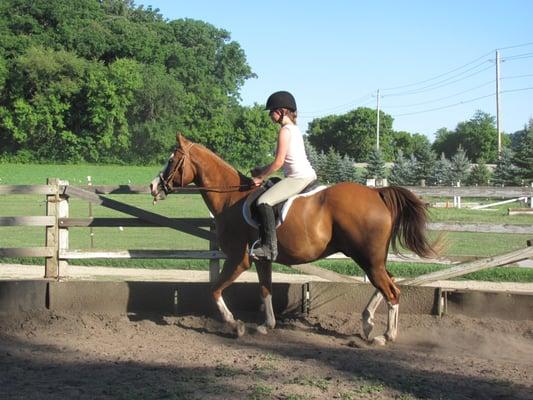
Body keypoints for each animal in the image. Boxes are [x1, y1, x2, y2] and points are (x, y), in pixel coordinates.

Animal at [150, 134, 436, 344]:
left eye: (172, 160)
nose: (154, 187)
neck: (231, 198)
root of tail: (377, 193)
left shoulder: (238, 259)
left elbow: (215, 290)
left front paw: (237, 326)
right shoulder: (261, 260)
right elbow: (265, 289)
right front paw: (265, 326)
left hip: (367, 258)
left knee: (391, 290)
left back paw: (386, 336)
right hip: (372, 259)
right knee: (389, 283)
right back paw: (367, 322)